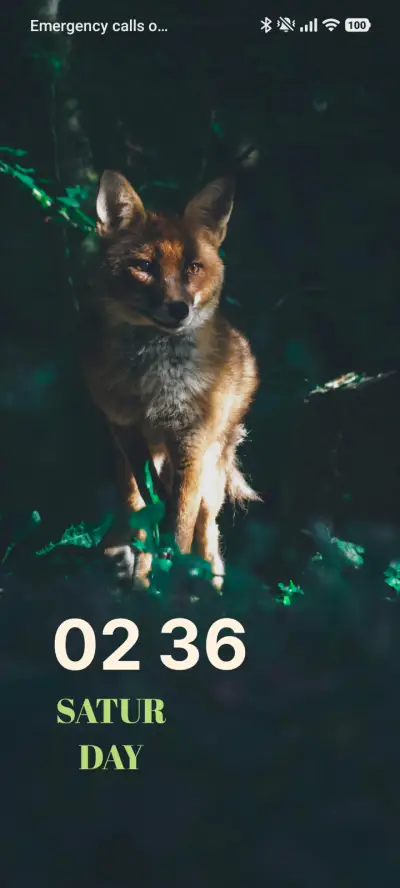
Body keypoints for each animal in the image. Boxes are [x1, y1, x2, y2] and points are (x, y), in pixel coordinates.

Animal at [81, 169, 259, 589]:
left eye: (193, 267)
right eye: (144, 266)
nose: (179, 309)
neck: (156, 389)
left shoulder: (191, 442)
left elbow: (180, 525)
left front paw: (170, 583)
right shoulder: (126, 429)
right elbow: (151, 508)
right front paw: (147, 580)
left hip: (212, 471)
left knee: (207, 533)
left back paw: (207, 585)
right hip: (135, 459)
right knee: (137, 509)